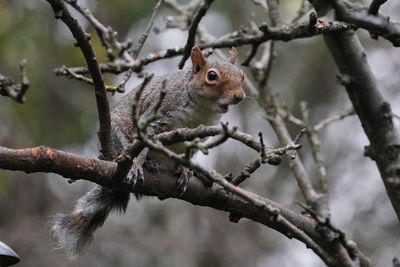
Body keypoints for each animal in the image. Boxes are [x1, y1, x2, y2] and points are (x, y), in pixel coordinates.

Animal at [50, 46, 244, 260]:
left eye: (242, 75)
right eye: (211, 76)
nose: (239, 96)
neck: (201, 108)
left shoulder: (199, 134)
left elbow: (190, 154)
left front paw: (186, 171)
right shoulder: (157, 114)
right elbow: (142, 144)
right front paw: (136, 166)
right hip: (119, 141)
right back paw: (148, 164)